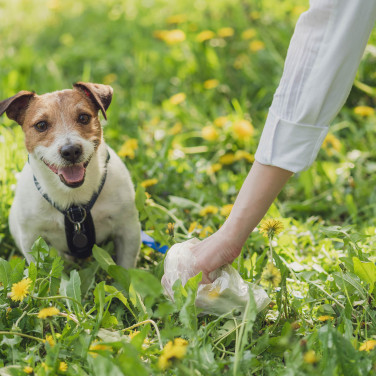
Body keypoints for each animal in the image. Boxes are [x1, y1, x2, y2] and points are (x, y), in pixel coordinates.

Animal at [0, 82, 141, 268]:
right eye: (41, 125)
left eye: (83, 118)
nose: (71, 151)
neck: (73, 200)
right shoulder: (31, 239)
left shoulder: (128, 229)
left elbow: (126, 267)